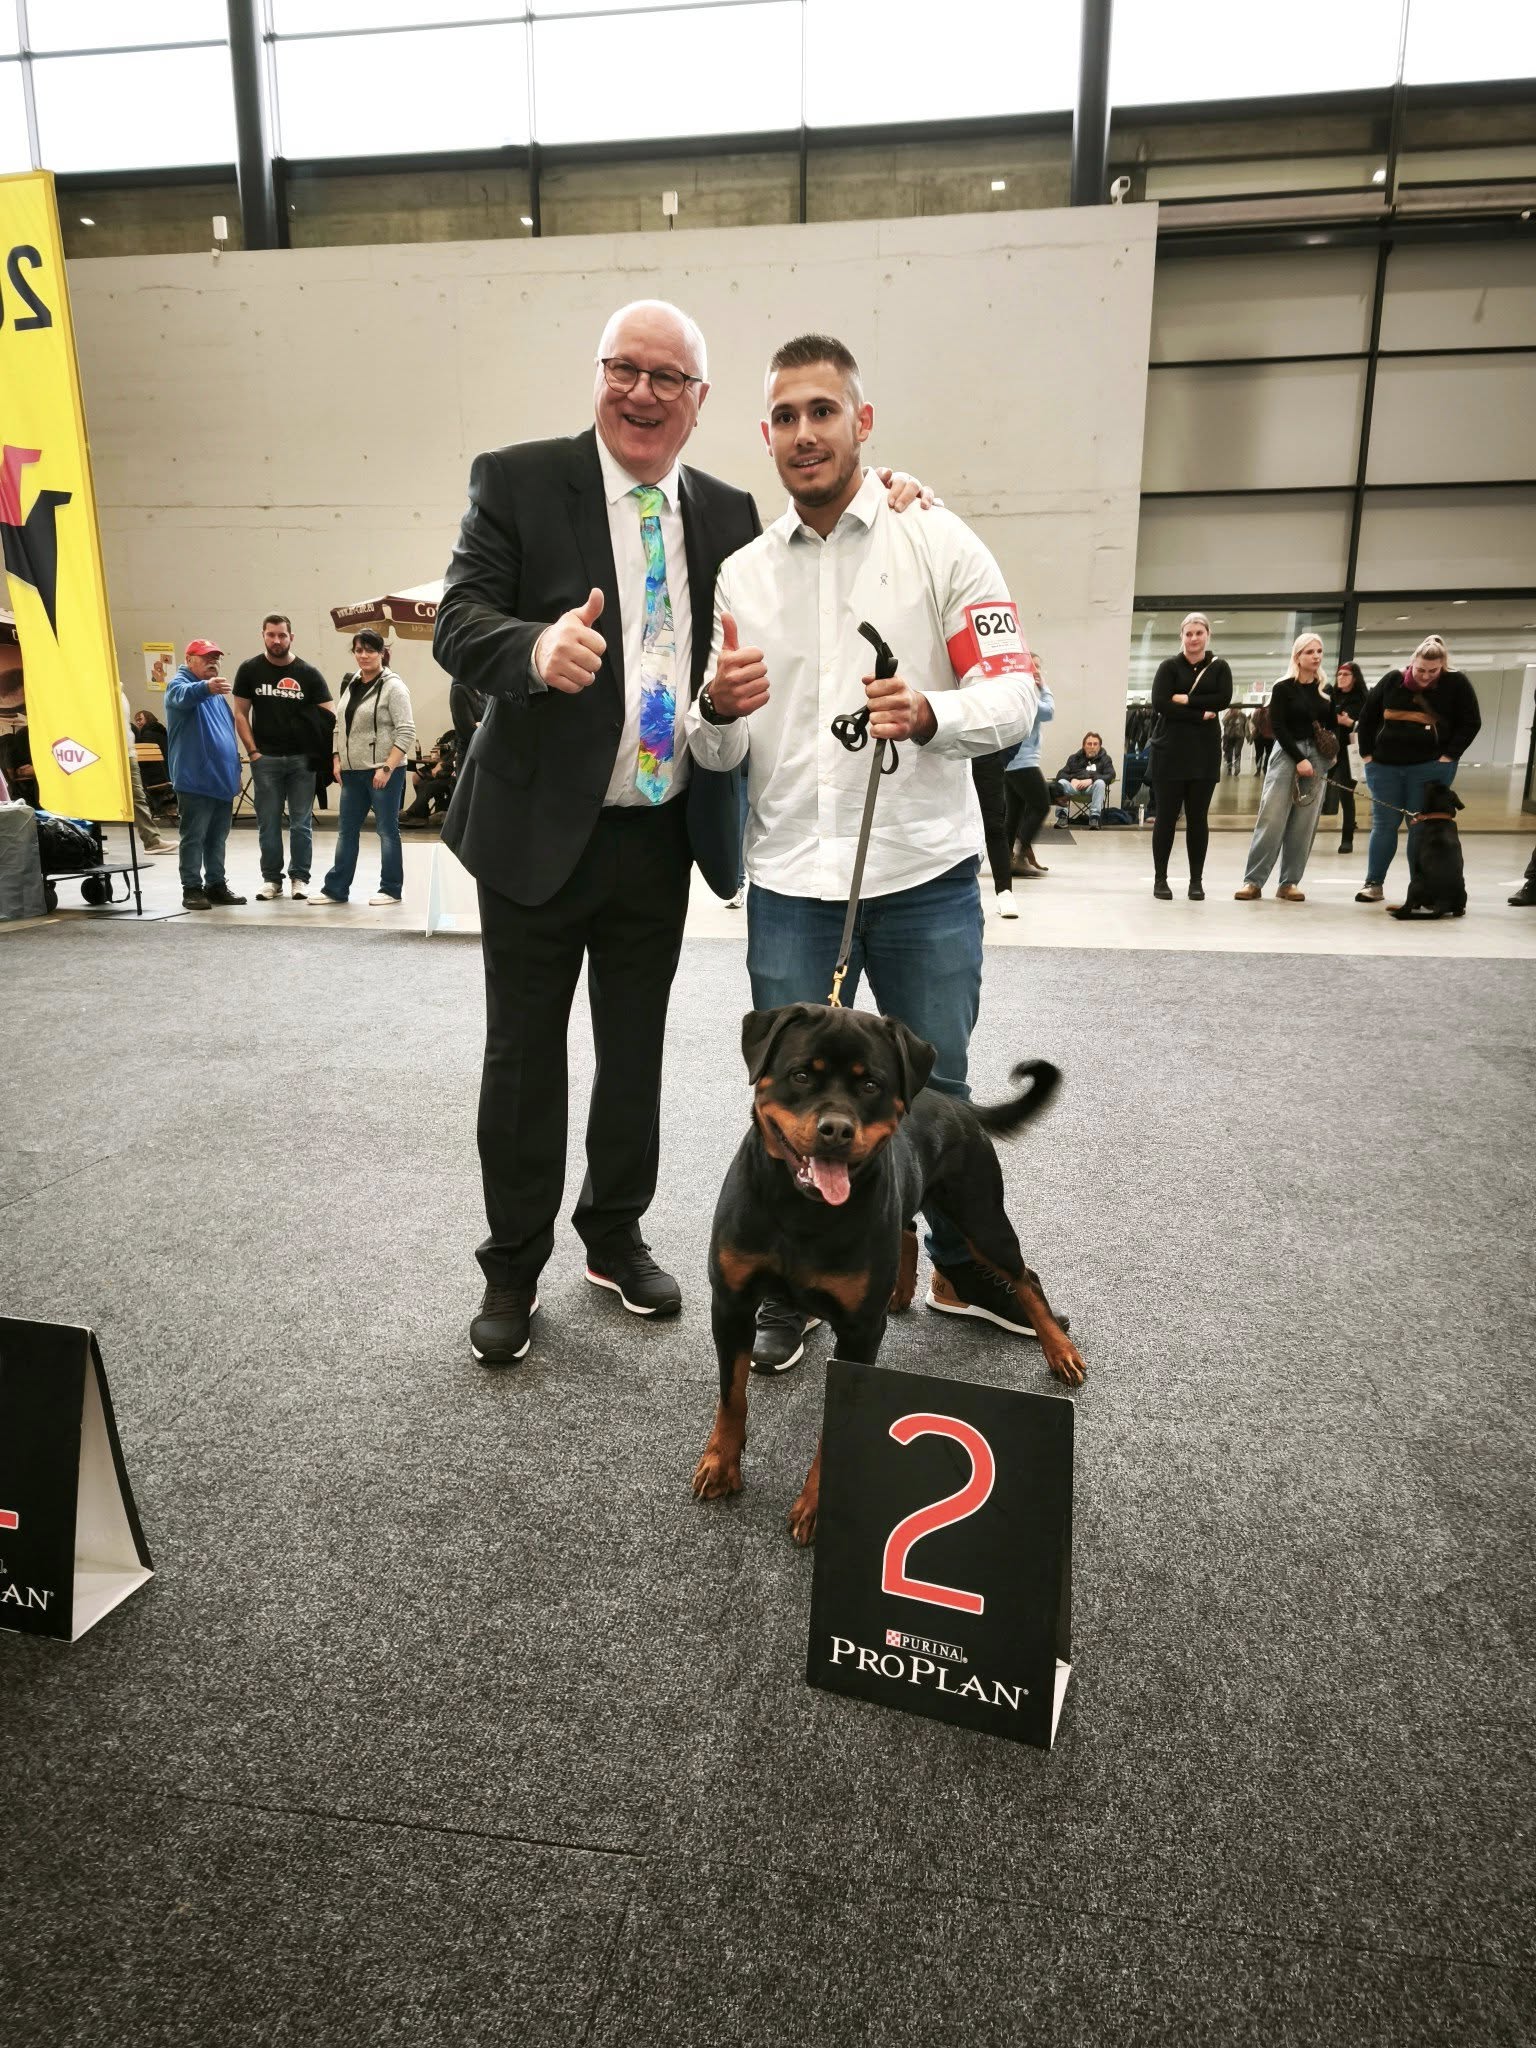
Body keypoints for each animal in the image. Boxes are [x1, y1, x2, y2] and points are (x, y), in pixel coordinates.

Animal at [691, 1003, 1085, 1545]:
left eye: (870, 1085)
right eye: (800, 1075)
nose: (837, 1129)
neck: (801, 1210)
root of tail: (953, 1101)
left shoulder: (859, 1331)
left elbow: (838, 1422)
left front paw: (818, 1505)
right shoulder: (731, 1302)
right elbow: (731, 1396)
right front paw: (721, 1464)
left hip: (981, 1216)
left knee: (1026, 1277)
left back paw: (1060, 1350)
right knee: (909, 1226)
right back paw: (901, 1290)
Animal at [1390, 782, 1467, 920]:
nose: (1433, 779)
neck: (1440, 816)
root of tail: (1443, 901)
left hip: (1414, 883)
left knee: (1408, 907)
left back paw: (1398, 911)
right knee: (1458, 911)